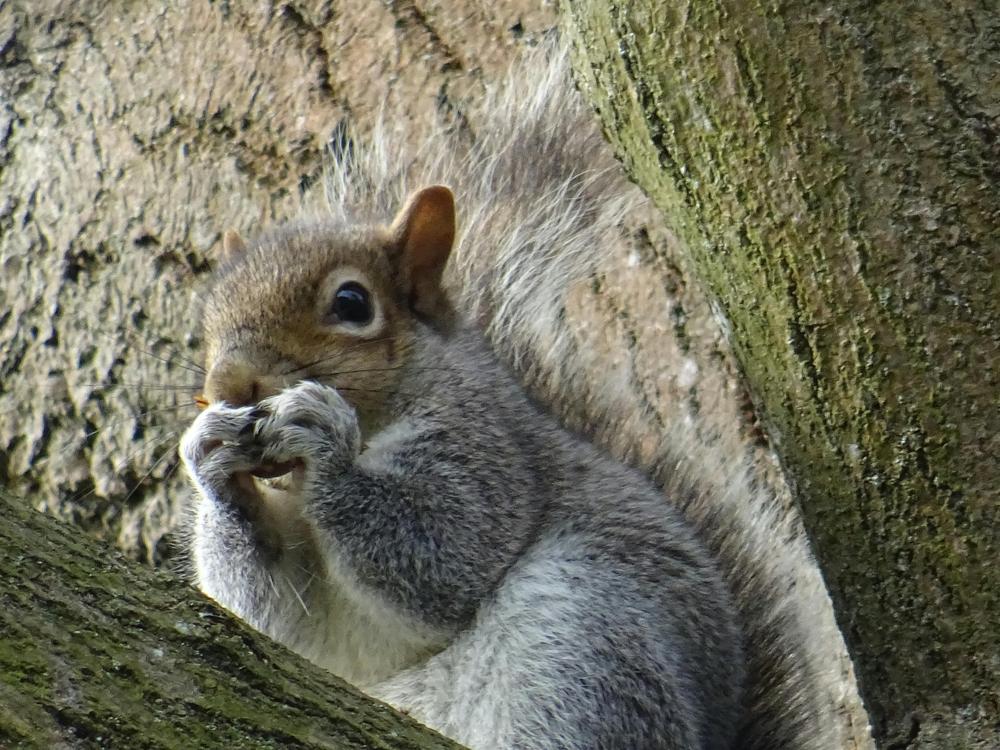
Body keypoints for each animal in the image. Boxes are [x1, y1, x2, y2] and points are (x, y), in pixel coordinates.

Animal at [180, 45, 831, 750]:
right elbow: (283, 614)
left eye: (351, 303)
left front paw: (326, 444)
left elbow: (445, 551)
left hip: (578, 639)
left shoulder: (490, 450)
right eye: (211, 316)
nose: (227, 385)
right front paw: (212, 459)